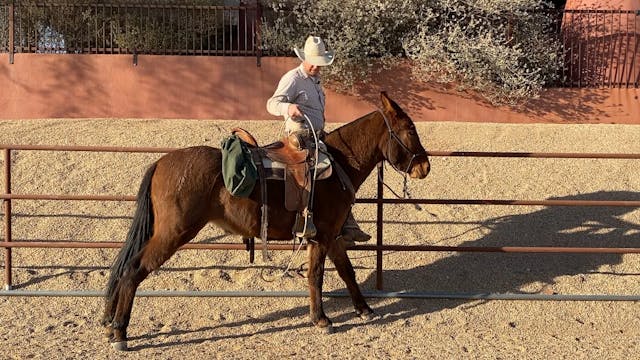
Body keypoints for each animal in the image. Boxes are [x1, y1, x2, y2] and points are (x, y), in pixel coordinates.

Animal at [102, 90, 430, 352]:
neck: (338, 165)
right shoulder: (322, 236)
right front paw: (321, 319)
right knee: (133, 269)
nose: (425, 166)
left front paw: (364, 309)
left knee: (124, 265)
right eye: (410, 129)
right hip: (173, 233)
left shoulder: (332, 236)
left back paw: (109, 325)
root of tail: (161, 162)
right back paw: (120, 332)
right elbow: (316, 275)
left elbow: (346, 271)